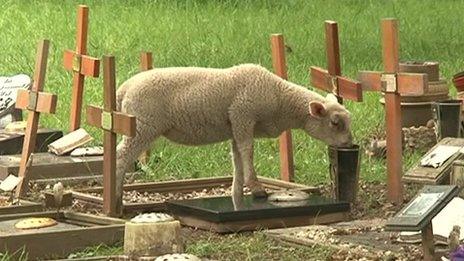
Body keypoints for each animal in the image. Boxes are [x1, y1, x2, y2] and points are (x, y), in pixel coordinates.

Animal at [115, 64, 352, 212]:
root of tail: (123, 89)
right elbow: (248, 151)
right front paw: (256, 188)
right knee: (120, 158)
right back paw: (116, 202)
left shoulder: (235, 126)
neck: (280, 99)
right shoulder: (243, 116)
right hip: (142, 126)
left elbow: (237, 158)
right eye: (334, 122)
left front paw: (237, 193)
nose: (349, 144)